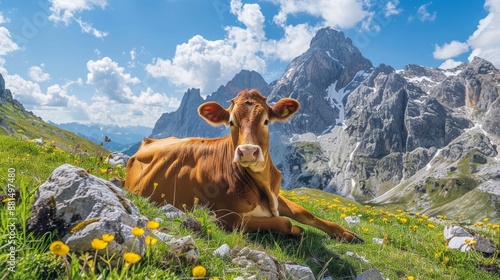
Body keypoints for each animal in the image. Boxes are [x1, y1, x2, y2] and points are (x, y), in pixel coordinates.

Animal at [126, 89, 364, 243]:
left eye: (266, 121)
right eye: (231, 122)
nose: (248, 151)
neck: (264, 186)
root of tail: (149, 140)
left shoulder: (276, 197)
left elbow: (305, 213)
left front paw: (346, 233)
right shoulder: (225, 217)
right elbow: (285, 223)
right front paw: (297, 230)